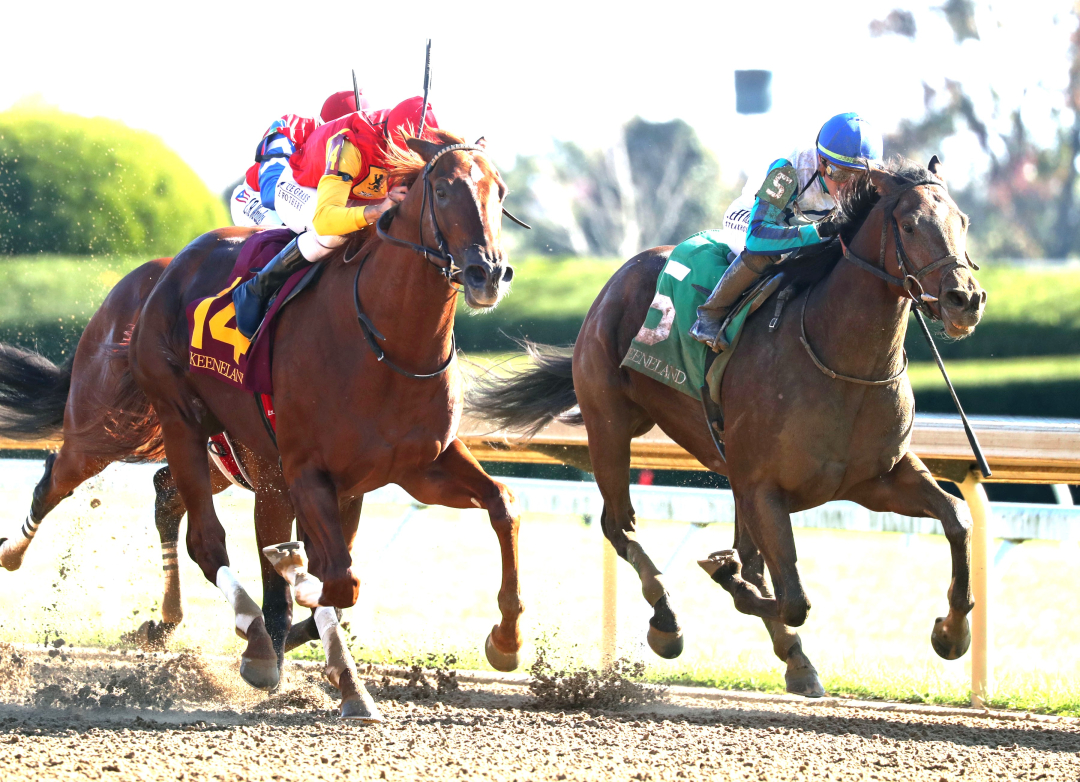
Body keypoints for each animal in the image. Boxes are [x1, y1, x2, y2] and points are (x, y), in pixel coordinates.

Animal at [0, 129, 522, 721]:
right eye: (443, 189)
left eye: (500, 192)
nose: (488, 273)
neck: (388, 345)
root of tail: (159, 273)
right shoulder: (304, 472)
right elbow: (336, 580)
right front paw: (291, 615)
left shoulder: (416, 467)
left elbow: (502, 504)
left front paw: (505, 641)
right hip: (137, 420)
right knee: (113, 500)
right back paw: (17, 553)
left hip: (219, 453)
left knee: (166, 494)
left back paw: (182, 620)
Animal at [466, 157, 989, 695]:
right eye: (909, 225)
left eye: (963, 221)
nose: (965, 299)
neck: (840, 360)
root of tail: (618, 278)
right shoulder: (762, 486)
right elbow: (787, 596)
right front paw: (724, 575)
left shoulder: (874, 478)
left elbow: (957, 517)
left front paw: (952, 632)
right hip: (608, 423)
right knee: (619, 523)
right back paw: (667, 621)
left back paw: (793, 658)